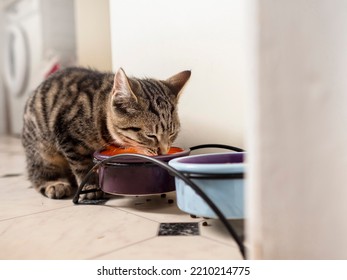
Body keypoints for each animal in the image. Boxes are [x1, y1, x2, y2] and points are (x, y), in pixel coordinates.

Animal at [22, 67, 190, 199]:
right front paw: (90, 186)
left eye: (172, 134)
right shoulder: (69, 136)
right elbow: (82, 165)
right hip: (42, 149)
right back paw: (54, 183)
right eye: (151, 135)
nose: (163, 151)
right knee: (37, 171)